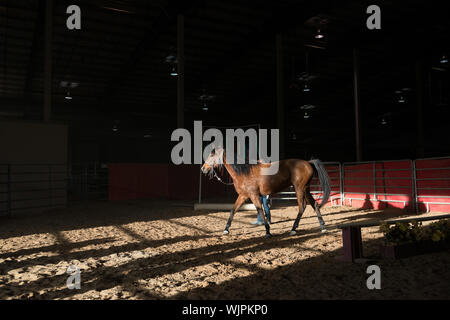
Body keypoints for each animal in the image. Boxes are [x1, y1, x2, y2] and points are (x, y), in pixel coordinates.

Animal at [201, 148, 330, 238]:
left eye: (212, 155)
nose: (203, 168)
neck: (244, 172)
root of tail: (308, 162)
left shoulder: (253, 195)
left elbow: (260, 211)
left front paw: (268, 232)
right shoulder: (243, 196)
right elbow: (233, 210)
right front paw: (226, 229)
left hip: (299, 188)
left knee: (302, 207)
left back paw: (293, 229)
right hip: (306, 189)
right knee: (315, 204)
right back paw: (322, 227)